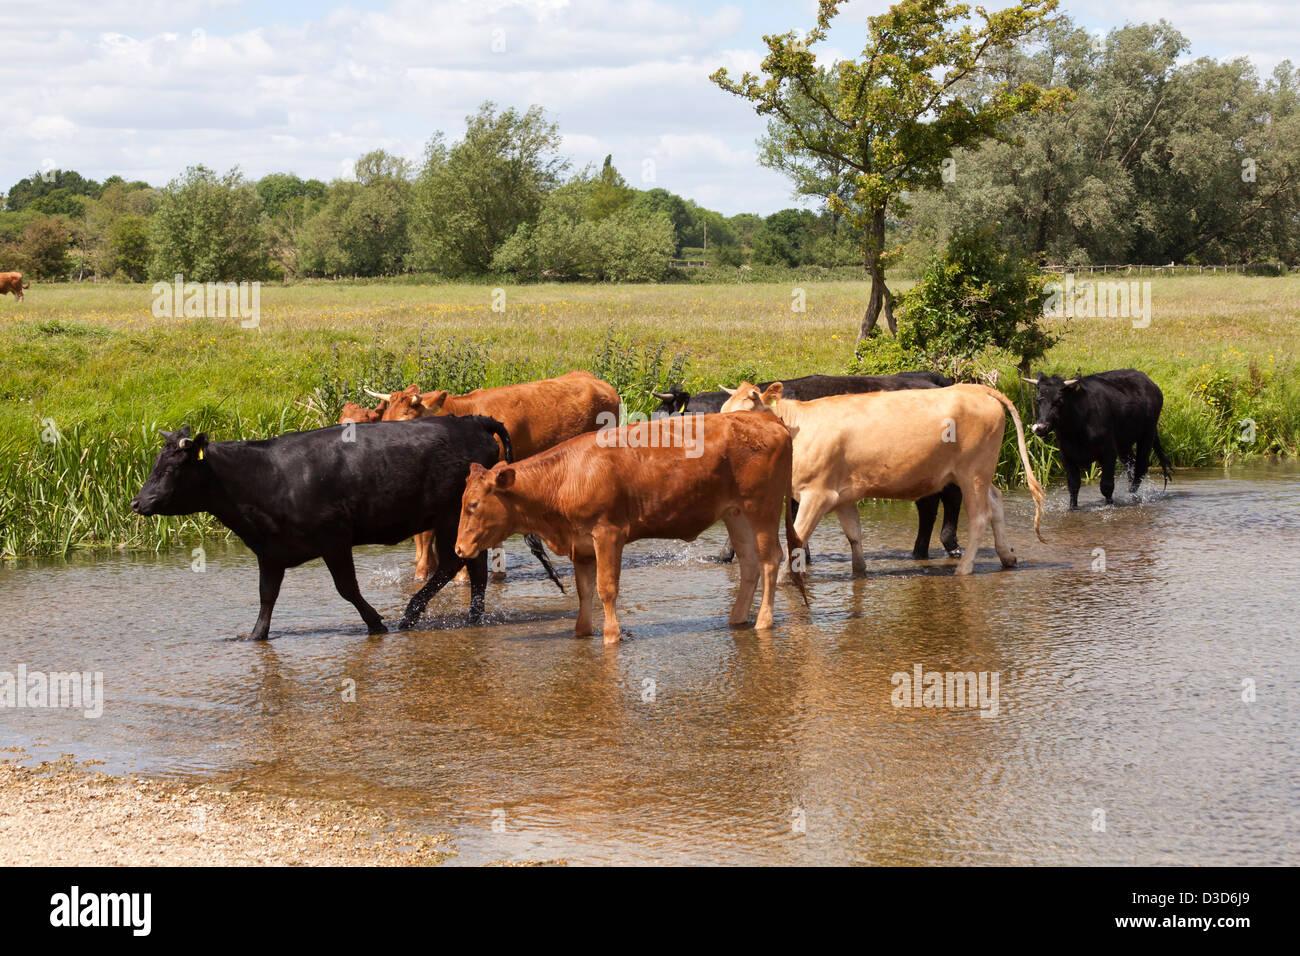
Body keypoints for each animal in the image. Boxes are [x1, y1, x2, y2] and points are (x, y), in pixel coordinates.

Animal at [129, 416, 561, 634]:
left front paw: (376, 624)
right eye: (155, 464)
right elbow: (266, 599)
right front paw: (254, 637)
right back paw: (468, 617)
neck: (265, 476)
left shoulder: (334, 539)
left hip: (452, 516)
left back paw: (412, 615)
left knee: (461, 564)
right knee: (471, 567)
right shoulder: (270, 552)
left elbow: (347, 588)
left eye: (171, 467)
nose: (137, 502)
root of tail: (472, 418)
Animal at [454, 411, 800, 642]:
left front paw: (611, 635)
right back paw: (737, 618)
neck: (568, 475)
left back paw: (763, 621)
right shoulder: (581, 544)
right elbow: (584, 590)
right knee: (750, 564)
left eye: (474, 505)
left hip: (762, 509)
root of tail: (764, 417)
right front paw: (582, 632)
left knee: (771, 560)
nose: (458, 548)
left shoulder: (608, 534)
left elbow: (606, 589)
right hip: (736, 514)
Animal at [650, 369, 967, 561]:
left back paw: (950, 545)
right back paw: (919, 551)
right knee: (928, 505)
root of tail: (929, 377)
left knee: (951, 496)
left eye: (665, 421)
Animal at [717, 382, 1040, 574]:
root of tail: (976, 387)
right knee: (996, 501)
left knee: (979, 516)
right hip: (974, 473)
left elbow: (797, 539)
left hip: (972, 471)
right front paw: (860, 572)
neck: (797, 429)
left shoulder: (816, 494)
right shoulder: (842, 496)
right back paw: (1007, 556)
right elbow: (854, 536)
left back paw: (964, 568)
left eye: (744, 415)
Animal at [1029, 366, 1175, 509]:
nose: (1040, 427)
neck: (1076, 432)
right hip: (1123, 444)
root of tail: (1149, 382)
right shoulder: (1066, 454)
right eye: (1037, 400)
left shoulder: (1109, 451)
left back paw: (1132, 496)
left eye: (1059, 401)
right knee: (1131, 465)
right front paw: (1072, 508)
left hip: (1147, 435)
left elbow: (1106, 485)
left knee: (1141, 467)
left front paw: (1109, 505)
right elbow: (1073, 485)